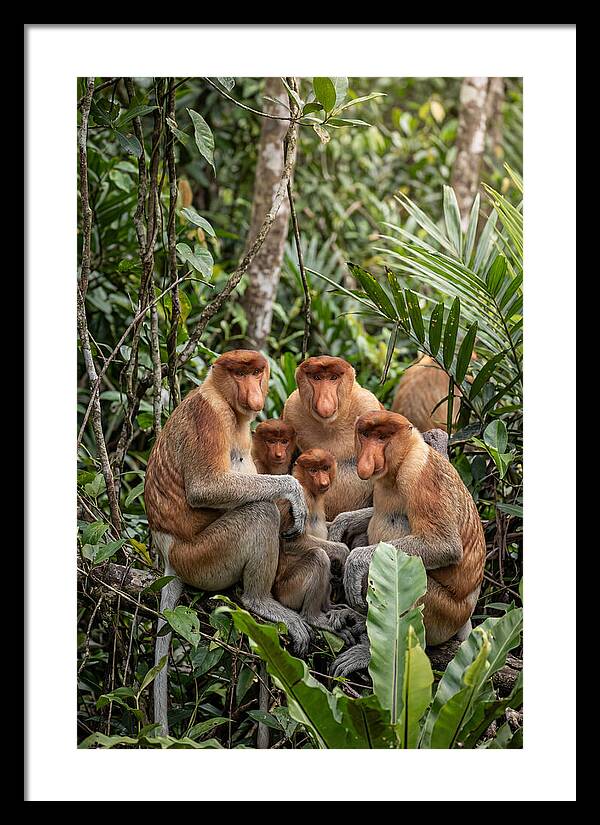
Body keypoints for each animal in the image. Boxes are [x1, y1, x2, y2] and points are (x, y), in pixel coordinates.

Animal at [144, 350, 311, 734]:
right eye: (239, 373)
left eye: (256, 372)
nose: (253, 392)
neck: (223, 397)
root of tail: (168, 555)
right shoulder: (209, 416)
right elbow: (206, 487)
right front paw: (294, 492)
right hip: (203, 557)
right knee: (259, 512)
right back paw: (259, 601)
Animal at [273, 449, 360, 644]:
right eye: (313, 470)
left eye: (325, 468)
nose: (323, 481)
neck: (309, 490)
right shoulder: (299, 500)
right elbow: (291, 542)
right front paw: (343, 551)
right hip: (289, 591)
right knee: (318, 556)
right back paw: (314, 617)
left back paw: (330, 607)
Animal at [282, 356, 382, 521]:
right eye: (316, 377)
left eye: (333, 378)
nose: (325, 403)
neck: (330, 425)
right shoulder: (291, 409)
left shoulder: (367, 404)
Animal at [331, 411, 485, 678]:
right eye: (366, 435)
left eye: (382, 437)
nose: (367, 459)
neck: (402, 460)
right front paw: (341, 523)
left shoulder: (420, 476)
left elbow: (444, 545)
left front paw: (355, 561)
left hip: (444, 614)